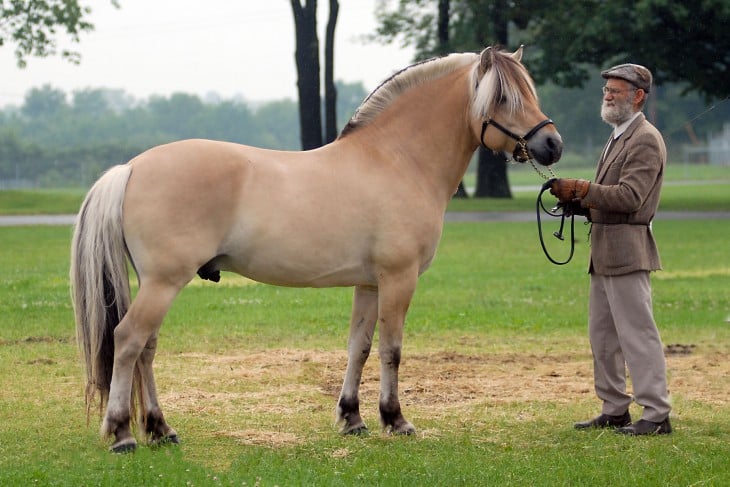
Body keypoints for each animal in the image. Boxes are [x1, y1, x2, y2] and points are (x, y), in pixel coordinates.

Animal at [72, 46, 564, 454]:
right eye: (504, 98)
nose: (552, 144)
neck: (397, 160)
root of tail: (131, 167)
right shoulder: (398, 279)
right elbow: (392, 349)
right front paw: (395, 420)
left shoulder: (369, 284)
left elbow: (358, 347)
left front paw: (352, 418)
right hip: (163, 283)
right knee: (128, 341)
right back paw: (122, 433)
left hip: (158, 284)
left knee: (147, 348)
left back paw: (160, 429)